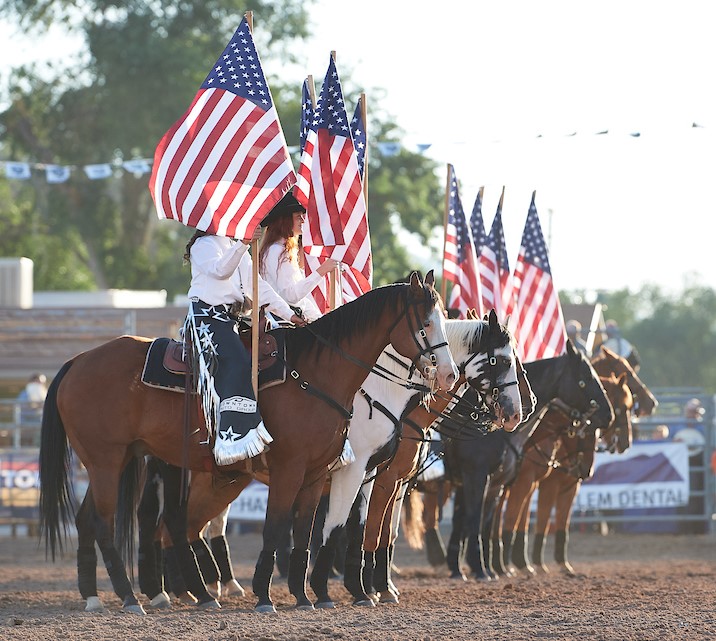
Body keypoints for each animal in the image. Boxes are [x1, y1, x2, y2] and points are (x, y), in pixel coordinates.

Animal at [40, 272, 458, 612]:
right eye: (426, 322)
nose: (449, 374)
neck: (315, 374)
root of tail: (77, 362)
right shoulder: (301, 469)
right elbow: (280, 527)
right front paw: (267, 596)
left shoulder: (317, 473)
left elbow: (307, 531)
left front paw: (307, 596)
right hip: (109, 462)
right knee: (113, 522)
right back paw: (134, 597)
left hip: (122, 461)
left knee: (103, 520)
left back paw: (101, 595)